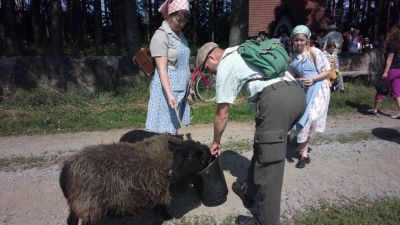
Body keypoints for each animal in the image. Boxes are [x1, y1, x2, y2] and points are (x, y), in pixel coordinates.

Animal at [59, 134, 211, 224]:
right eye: (177, 155)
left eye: (190, 156)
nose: (171, 175)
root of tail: (67, 167)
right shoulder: (163, 188)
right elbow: (163, 204)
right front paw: (166, 215)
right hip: (88, 203)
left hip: (78, 202)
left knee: (71, 220)